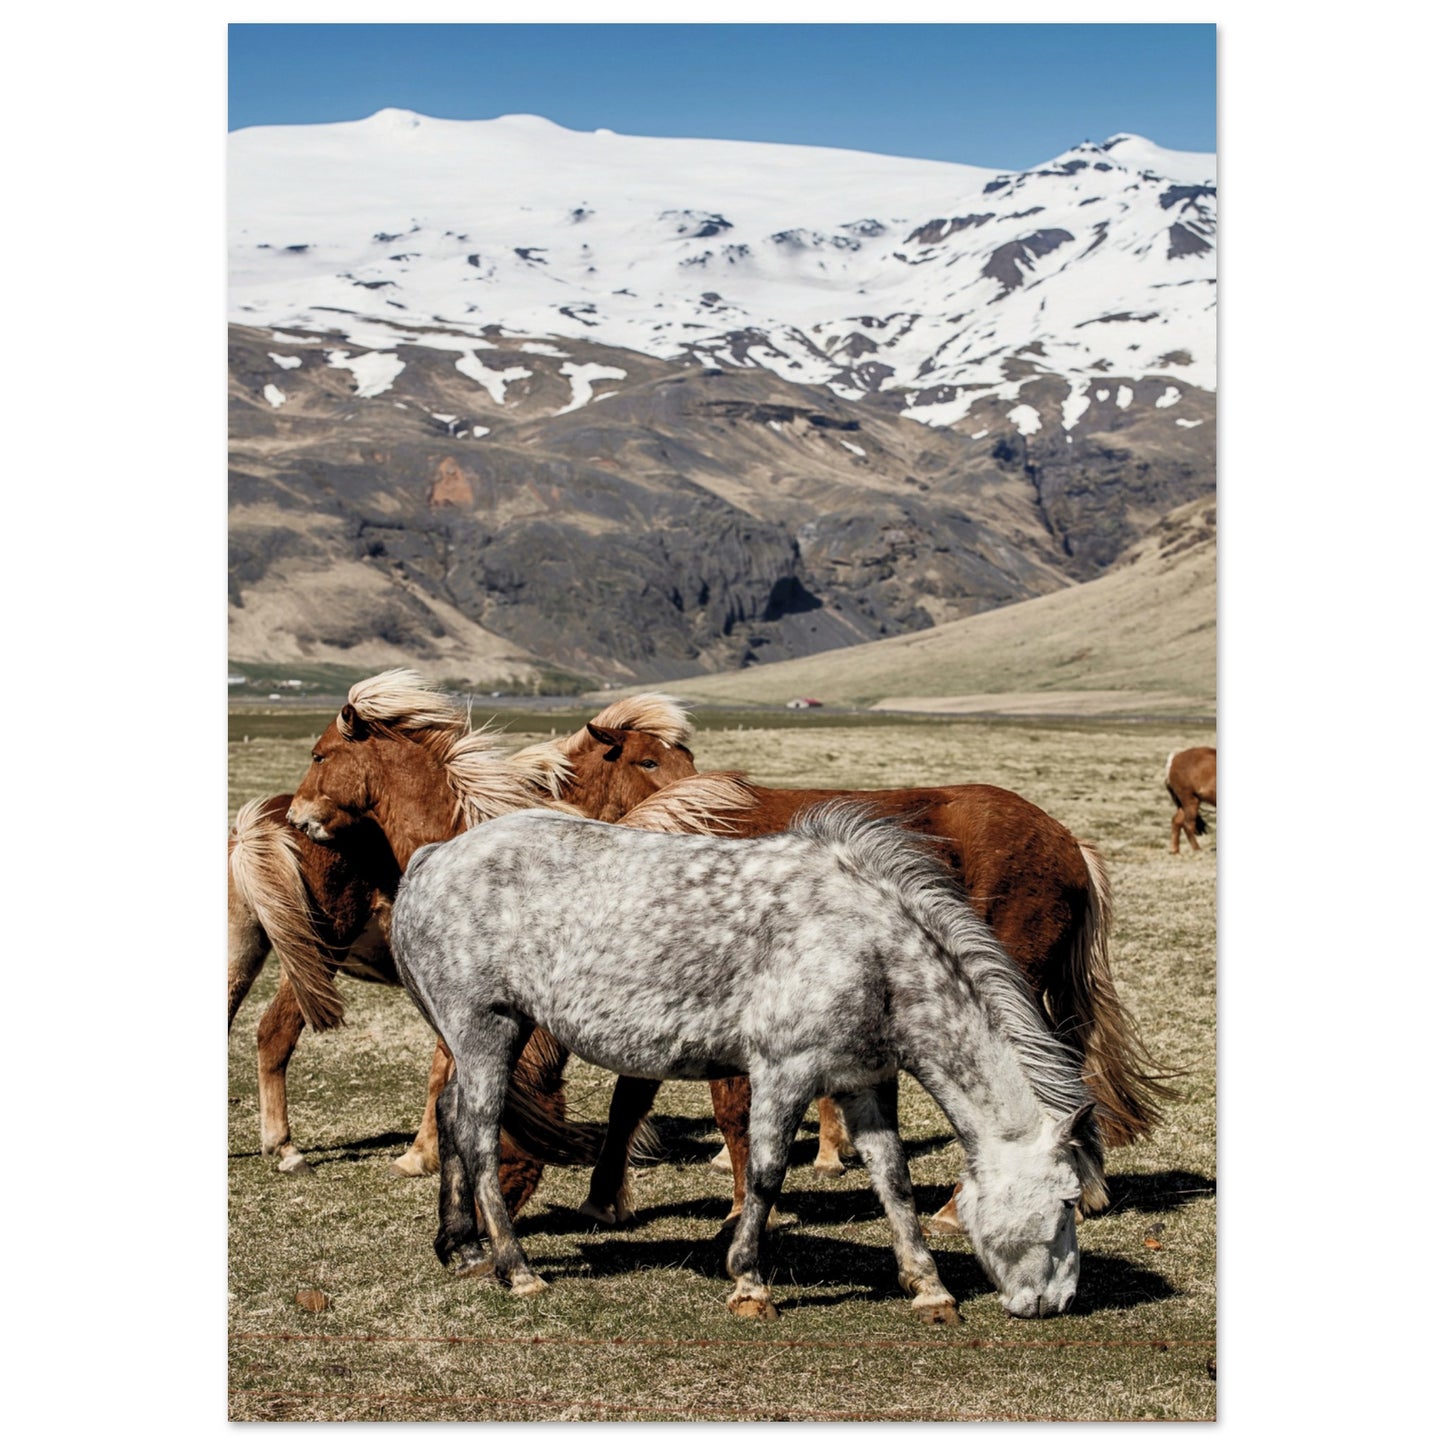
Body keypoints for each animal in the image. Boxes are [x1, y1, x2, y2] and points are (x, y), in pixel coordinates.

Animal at [228, 669, 604, 1202]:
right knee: (272, 1034)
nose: (301, 817)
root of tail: (255, 825)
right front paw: (423, 1155)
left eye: (319, 755)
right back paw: (285, 1149)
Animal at [379, 804, 1098, 1323]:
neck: (869, 948)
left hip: (485, 1034)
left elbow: (892, 1179)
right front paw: (750, 1281)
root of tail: (432, 858)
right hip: (486, 1028)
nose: (1057, 1302)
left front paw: (928, 1286)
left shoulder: (865, 1082)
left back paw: (462, 1246)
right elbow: (766, 1172)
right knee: (477, 1133)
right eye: (1068, 1202)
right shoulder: (785, 1070)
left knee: (451, 1116)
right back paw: (516, 1266)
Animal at [554, 695, 1171, 1223]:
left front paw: (748, 1208)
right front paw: (601, 1200)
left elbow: (731, 1111)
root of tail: (1067, 842)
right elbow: (629, 1100)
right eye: (648, 759)